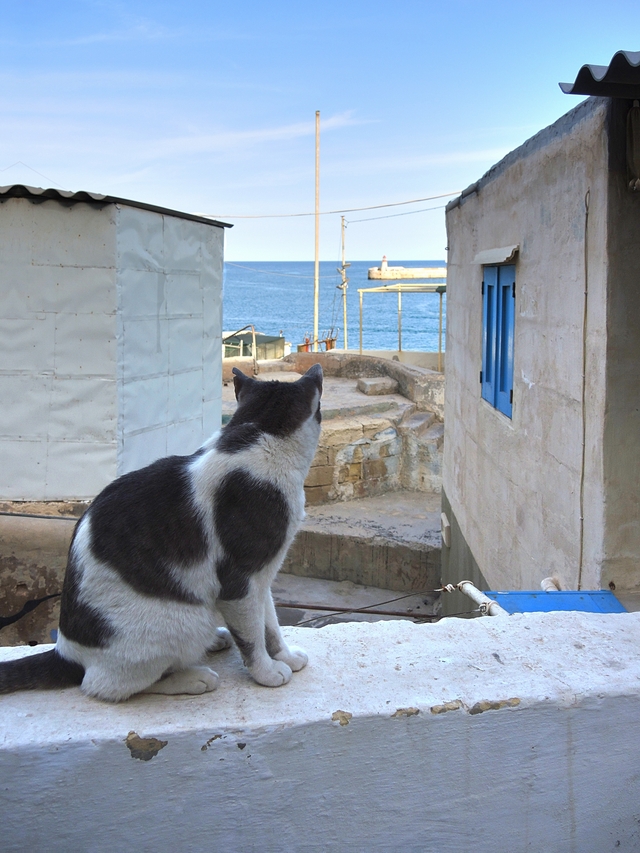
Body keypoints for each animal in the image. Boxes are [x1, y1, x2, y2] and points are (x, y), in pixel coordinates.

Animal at [0, 362, 322, 704]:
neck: (257, 433)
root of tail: (66, 652)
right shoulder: (240, 581)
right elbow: (252, 636)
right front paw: (266, 672)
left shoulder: (263, 578)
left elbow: (270, 624)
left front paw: (284, 656)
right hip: (186, 620)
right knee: (107, 685)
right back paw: (192, 678)